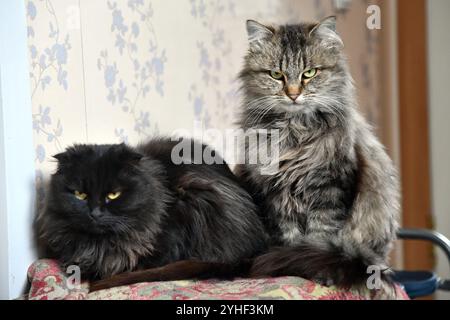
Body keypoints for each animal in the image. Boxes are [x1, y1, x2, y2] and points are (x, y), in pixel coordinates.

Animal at [237, 16, 400, 288]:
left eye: (309, 73)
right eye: (276, 75)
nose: (293, 94)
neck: (295, 134)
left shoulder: (331, 187)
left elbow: (319, 237)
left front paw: (316, 269)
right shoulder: (276, 194)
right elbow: (290, 236)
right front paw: (292, 263)